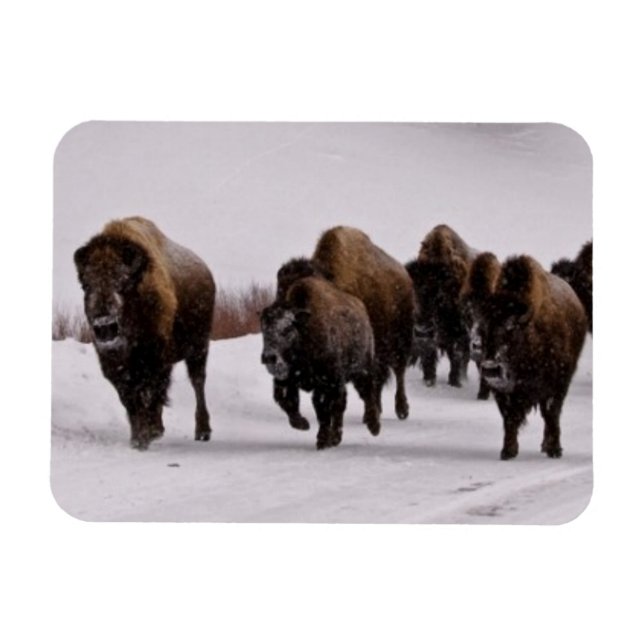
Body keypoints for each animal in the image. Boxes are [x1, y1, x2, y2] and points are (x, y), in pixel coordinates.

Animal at [74, 216, 216, 450]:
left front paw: (150, 433)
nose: (105, 326)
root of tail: (206, 272)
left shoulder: (155, 358)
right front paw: (138, 437)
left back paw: (202, 431)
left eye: (122, 282)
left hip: (199, 347)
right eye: (86, 285)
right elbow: (129, 396)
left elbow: (150, 391)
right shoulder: (114, 364)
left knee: (197, 382)